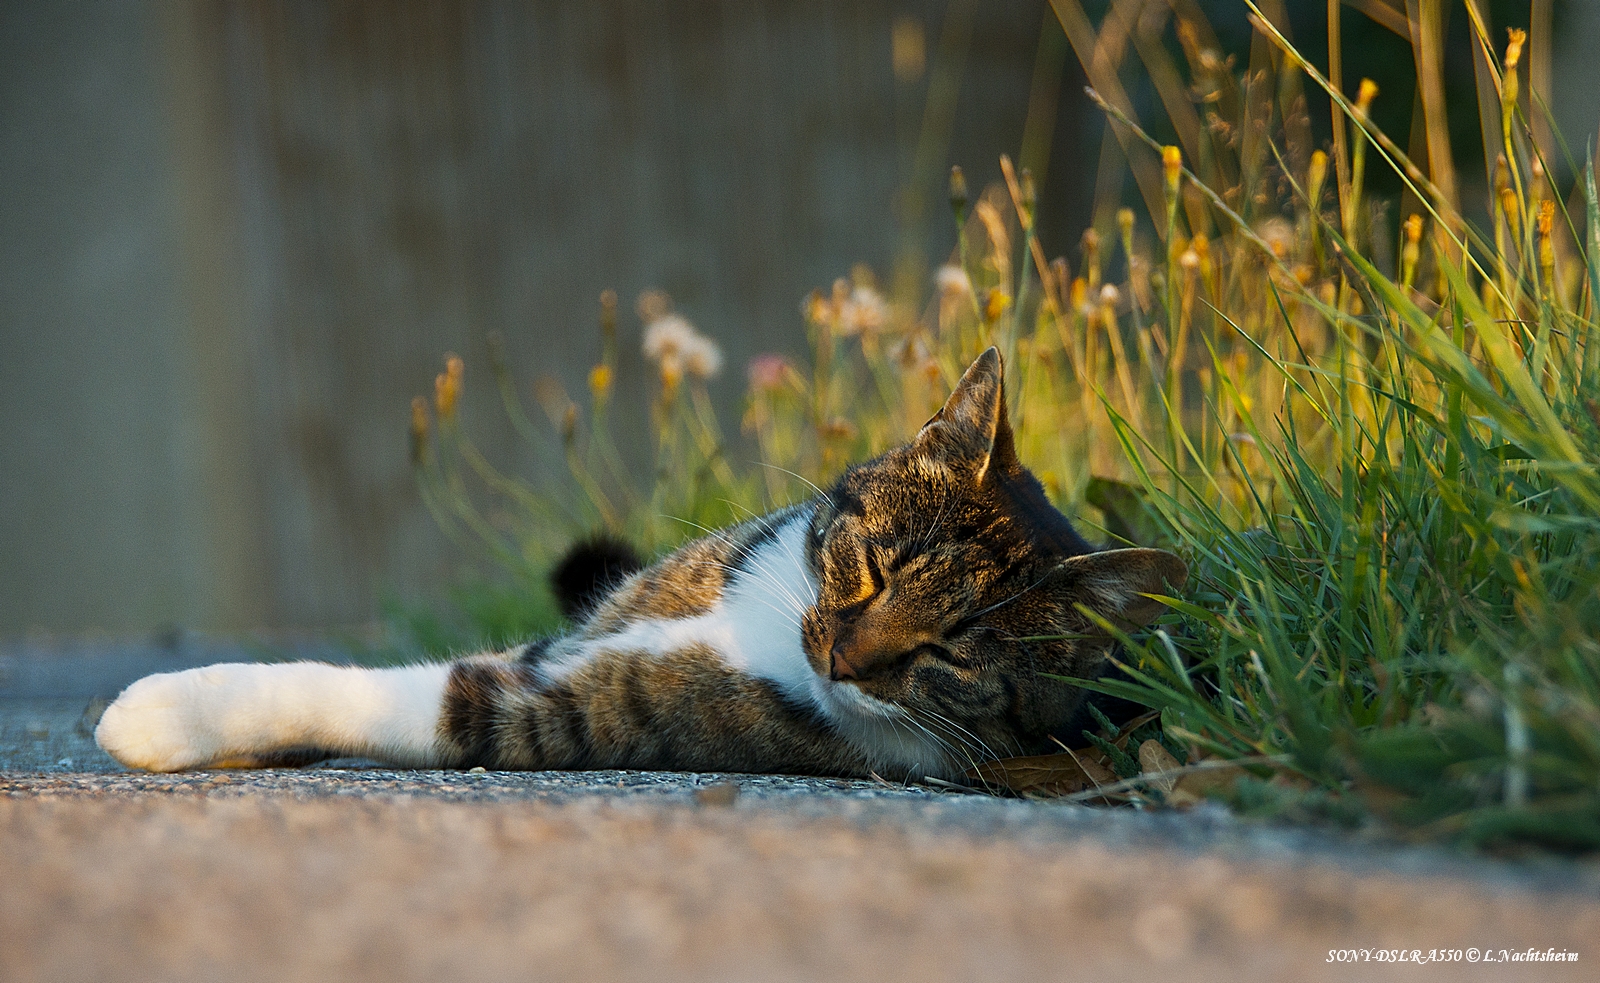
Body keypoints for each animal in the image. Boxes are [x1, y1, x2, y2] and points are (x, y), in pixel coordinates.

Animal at [93, 350, 1184, 781]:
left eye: (949, 654)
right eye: (870, 567)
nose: (841, 659)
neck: (769, 623)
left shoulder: (564, 706)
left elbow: (384, 693)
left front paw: (158, 713)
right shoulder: (586, 630)